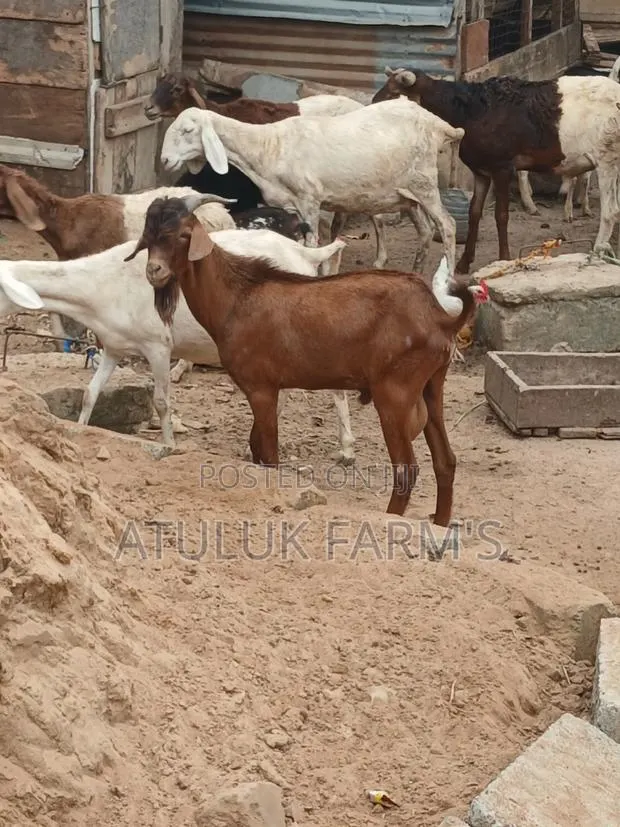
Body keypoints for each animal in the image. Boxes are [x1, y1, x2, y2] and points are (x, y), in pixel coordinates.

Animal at [0, 217, 353, 456]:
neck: (100, 284)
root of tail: (305, 255)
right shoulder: (114, 346)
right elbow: (90, 393)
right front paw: (81, 429)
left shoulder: (158, 345)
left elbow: (161, 401)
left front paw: (168, 445)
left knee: (334, 386)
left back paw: (347, 449)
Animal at [127, 193, 487, 521]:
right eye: (149, 236)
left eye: (183, 235)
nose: (155, 271)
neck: (236, 296)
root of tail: (439, 318)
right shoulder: (270, 387)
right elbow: (257, 449)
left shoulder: (261, 387)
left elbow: (269, 455)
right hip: (431, 385)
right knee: (446, 461)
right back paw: (440, 522)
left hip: (394, 393)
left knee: (406, 470)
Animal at [158, 99, 464, 276]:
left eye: (187, 131)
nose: (165, 160)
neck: (268, 147)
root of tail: (441, 124)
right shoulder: (289, 206)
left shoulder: (310, 200)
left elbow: (313, 244)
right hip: (407, 193)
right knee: (425, 231)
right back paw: (417, 274)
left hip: (424, 182)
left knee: (447, 225)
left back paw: (447, 279)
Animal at [373, 68, 620, 272]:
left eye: (393, 92)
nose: (372, 103)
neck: (472, 111)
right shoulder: (481, 172)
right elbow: (474, 213)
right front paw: (464, 263)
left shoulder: (502, 168)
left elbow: (501, 215)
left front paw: (504, 258)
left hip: (607, 158)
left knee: (610, 212)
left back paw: (597, 254)